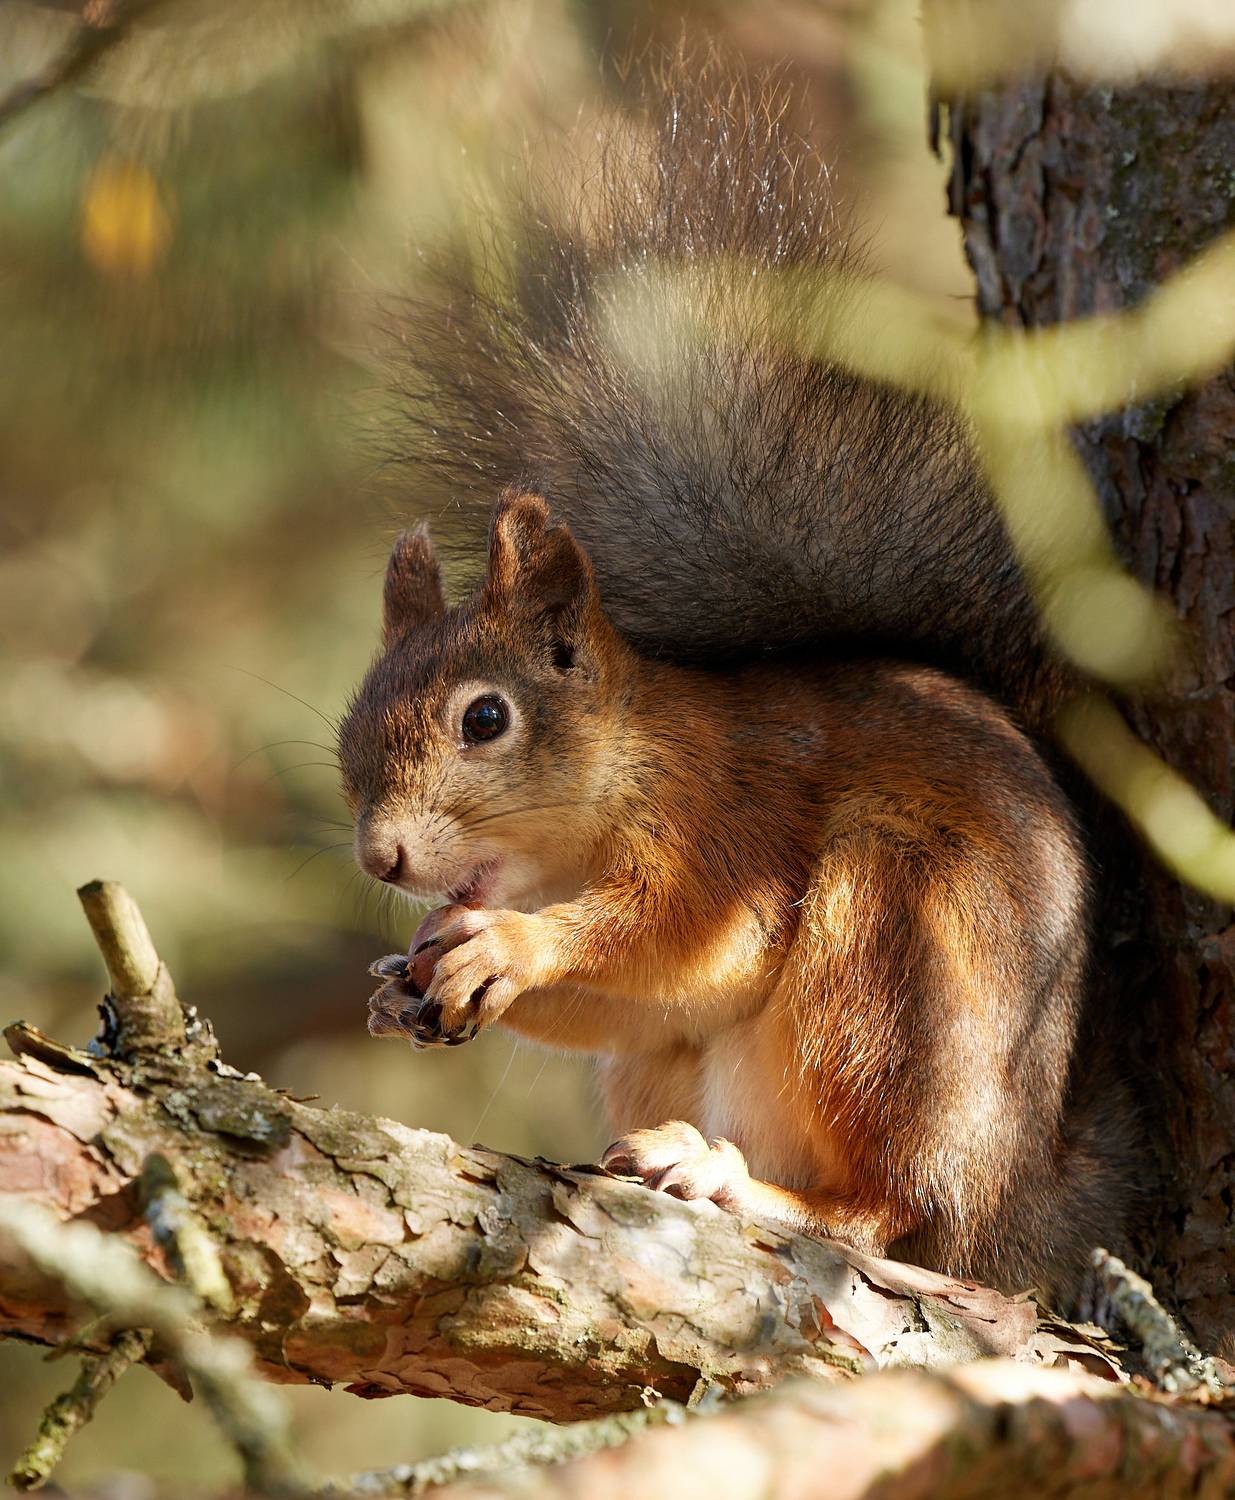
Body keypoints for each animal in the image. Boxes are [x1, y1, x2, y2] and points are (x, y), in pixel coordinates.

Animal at [336, 52, 1135, 1300]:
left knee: (883, 1213)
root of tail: (1010, 1203)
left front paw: (512, 945)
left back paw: (732, 1181)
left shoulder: (728, 819)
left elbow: (693, 938)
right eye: (348, 733)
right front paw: (405, 984)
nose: (383, 858)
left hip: (886, 953)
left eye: (485, 718)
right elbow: (620, 1008)